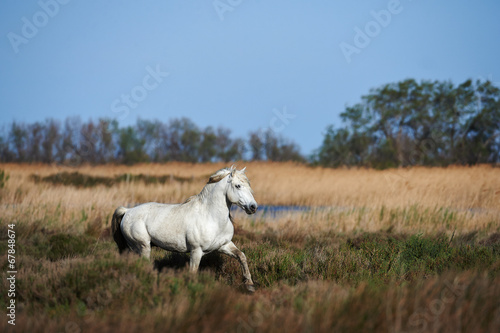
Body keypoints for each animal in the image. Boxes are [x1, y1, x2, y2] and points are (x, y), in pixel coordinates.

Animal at [112, 165, 260, 290]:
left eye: (249, 186)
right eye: (238, 186)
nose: (253, 207)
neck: (211, 216)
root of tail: (127, 211)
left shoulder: (224, 245)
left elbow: (241, 256)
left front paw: (249, 284)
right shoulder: (196, 251)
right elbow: (193, 272)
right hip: (142, 247)